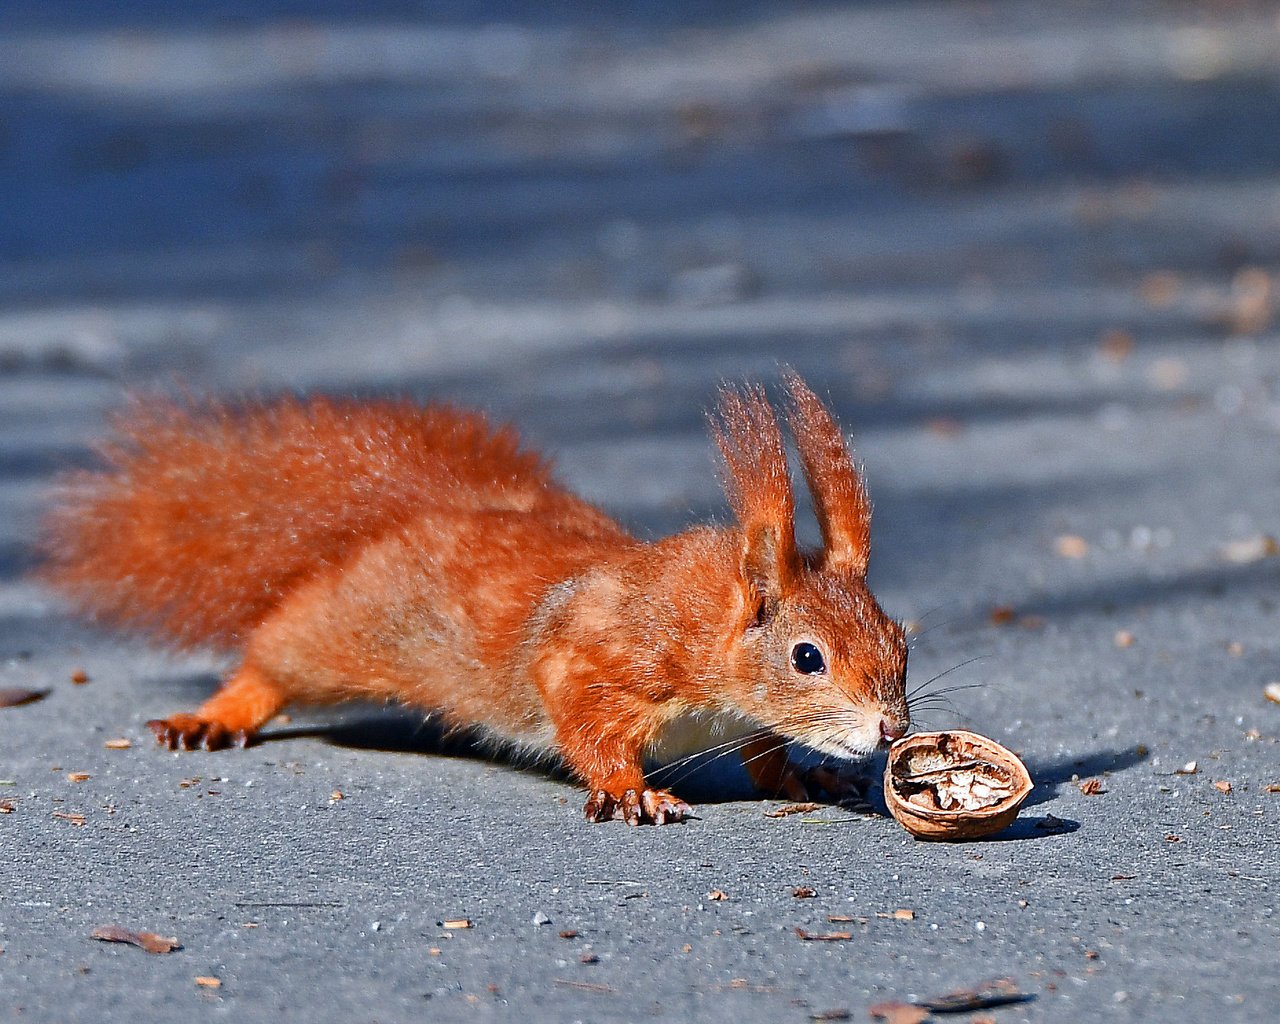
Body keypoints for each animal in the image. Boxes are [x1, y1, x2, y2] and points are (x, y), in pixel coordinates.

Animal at [40, 373, 911, 824]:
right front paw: (628, 788)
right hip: (342, 632)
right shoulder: (593, 658)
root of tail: (413, 517)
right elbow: (585, 724)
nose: (892, 729)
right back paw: (217, 714)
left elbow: (765, 754)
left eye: (902, 641)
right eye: (807, 657)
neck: (704, 627)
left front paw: (807, 776)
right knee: (272, 657)